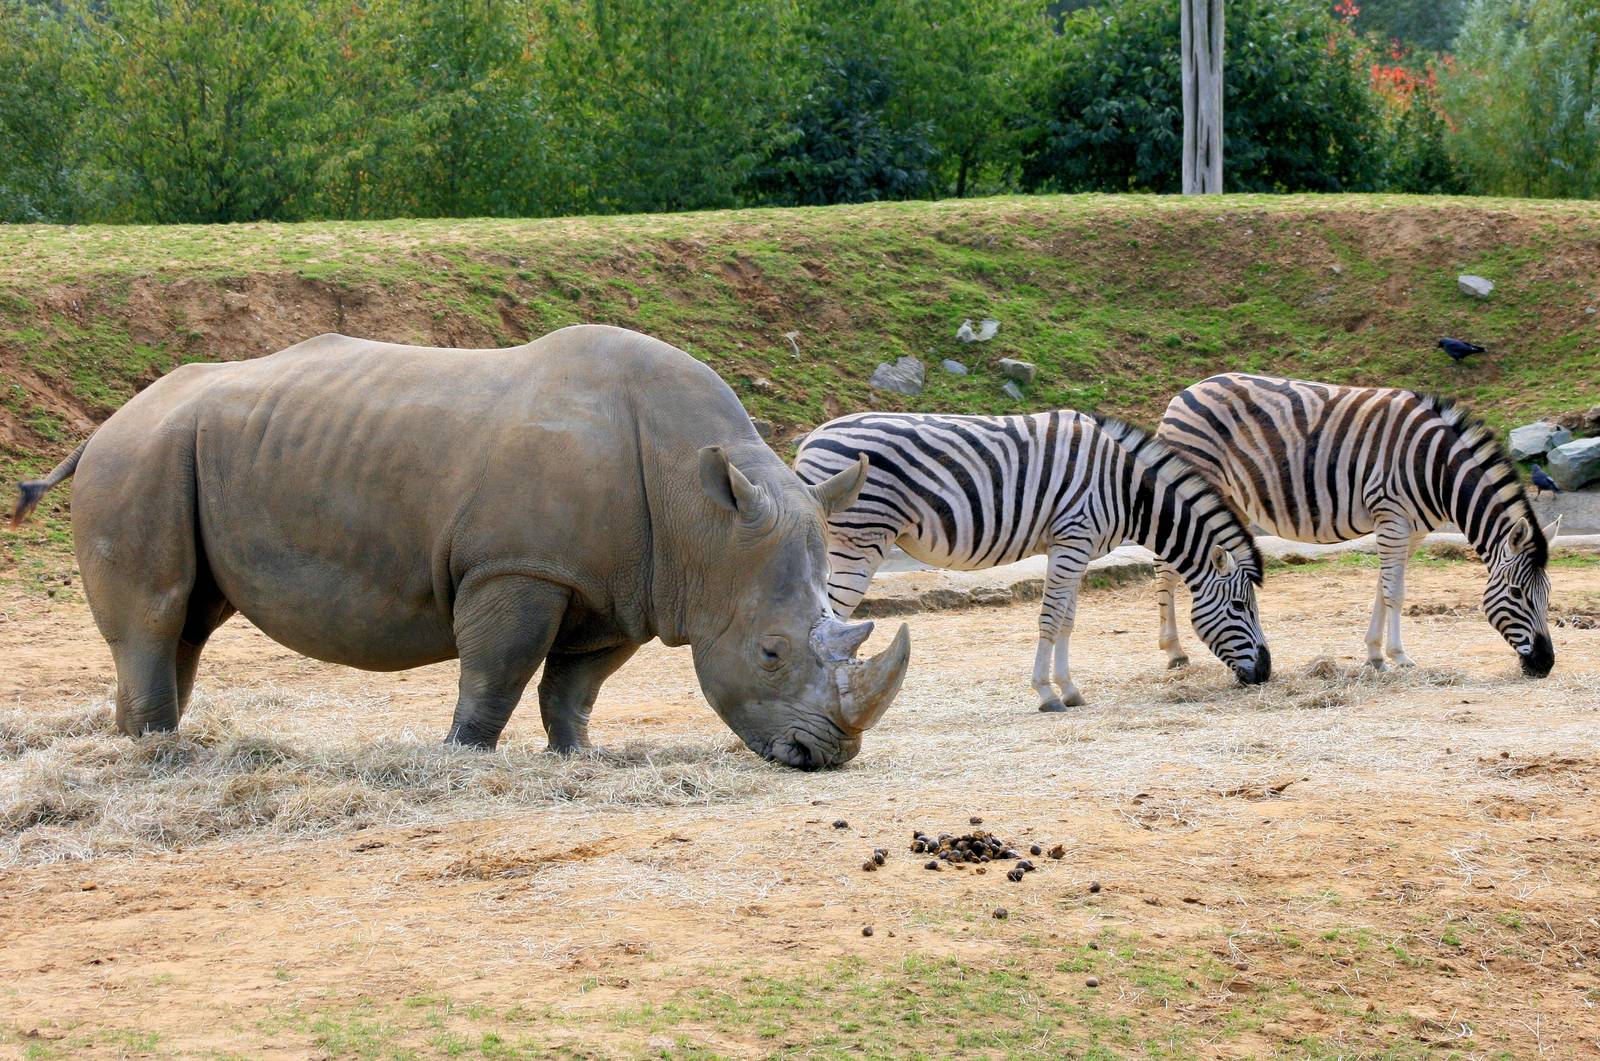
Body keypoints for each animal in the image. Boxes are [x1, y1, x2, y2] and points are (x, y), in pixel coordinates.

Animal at [11, 325, 910, 769]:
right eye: (769, 653)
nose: (823, 756)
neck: (703, 517)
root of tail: (102, 428)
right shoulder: (518, 567)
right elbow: (499, 669)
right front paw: (464, 755)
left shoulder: (623, 584)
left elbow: (576, 684)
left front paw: (578, 757)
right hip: (142, 456)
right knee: (158, 615)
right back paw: (159, 759)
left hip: (178, 453)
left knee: (190, 622)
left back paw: (145, 746)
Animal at [794, 411, 1271, 711]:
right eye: (1239, 607)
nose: (1265, 673)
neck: (1126, 490)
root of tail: (810, 441)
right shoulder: (1073, 539)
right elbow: (1050, 618)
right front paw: (1047, 693)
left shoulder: (1075, 547)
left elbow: (1067, 621)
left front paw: (1070, 690)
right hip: (860, 540)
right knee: (828, 622)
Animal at [1155, 373, 1555, 677]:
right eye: (1517, 594)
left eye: (1547, 595)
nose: (1545, 664)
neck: (1437, 469)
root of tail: (1186, 391)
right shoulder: (1391, 516)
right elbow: (1396, 592)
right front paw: (1399, 656)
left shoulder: (1411, 530)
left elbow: (1383, 587)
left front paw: (1375, 654)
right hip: (1196, 481)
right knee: (1167, 566)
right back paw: (1173, 651)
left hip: (1229, 498)